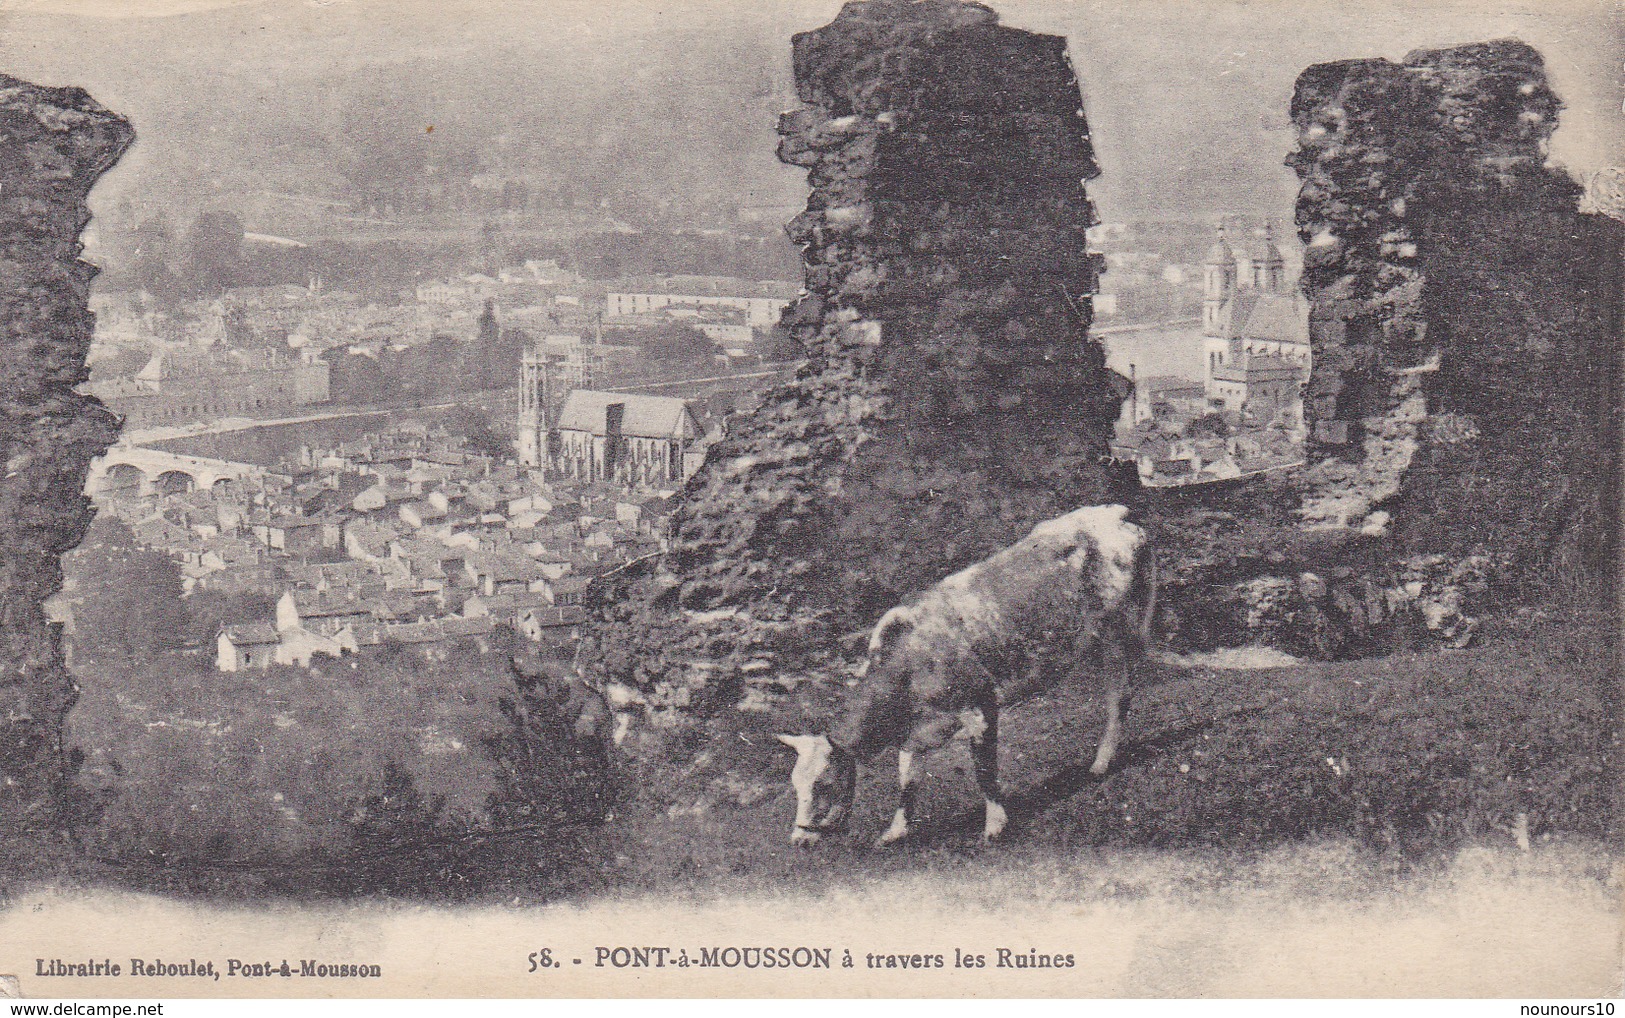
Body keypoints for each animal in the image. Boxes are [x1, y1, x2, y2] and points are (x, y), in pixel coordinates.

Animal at [773, 504, 1157, 845]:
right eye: (795, 785)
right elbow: (906, 783)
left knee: (1119, 694)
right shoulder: (915, 731)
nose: (798, 839)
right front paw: (896, 832)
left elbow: (984, 772)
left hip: (1120, 626)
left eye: (823, 783)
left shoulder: (980, 705)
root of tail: (1116, 512)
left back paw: (1101, 763)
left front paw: (995, 826)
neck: (907, 663)